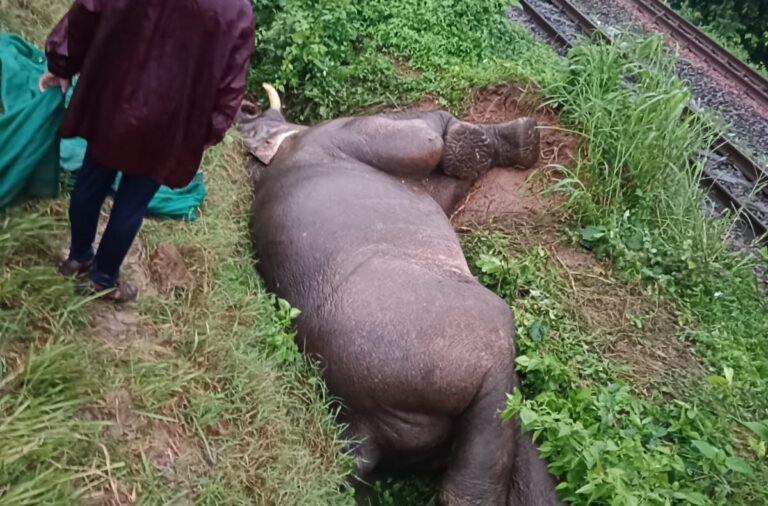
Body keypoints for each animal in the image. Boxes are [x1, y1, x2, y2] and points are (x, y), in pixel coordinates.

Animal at [241, 83, 562, 506]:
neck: (284, 148)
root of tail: (364, 426)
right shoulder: (365, 133)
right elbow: (432, 142)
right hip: (487, 348)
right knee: (472, 480)